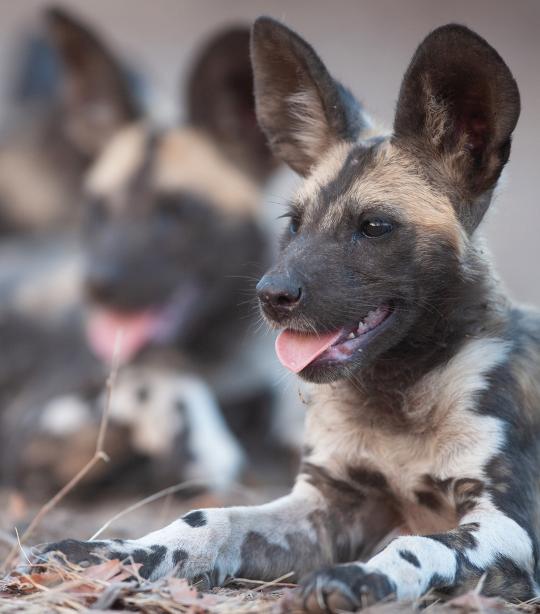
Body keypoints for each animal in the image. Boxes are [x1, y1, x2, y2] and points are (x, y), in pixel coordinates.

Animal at [0, 9, 296, 500]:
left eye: (176, 213)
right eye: (97, 209)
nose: (97, 285)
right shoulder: (25, 427)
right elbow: (157, 374)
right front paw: (199, 444)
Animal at [32, 18, 540, 612]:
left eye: (374, 227)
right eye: (294, 224)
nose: (270, 295)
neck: (396, 400)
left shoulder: (511, 531)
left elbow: (420, 544)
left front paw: (359, 578)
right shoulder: (328, 504)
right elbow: (208, 518)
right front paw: (114, 555)